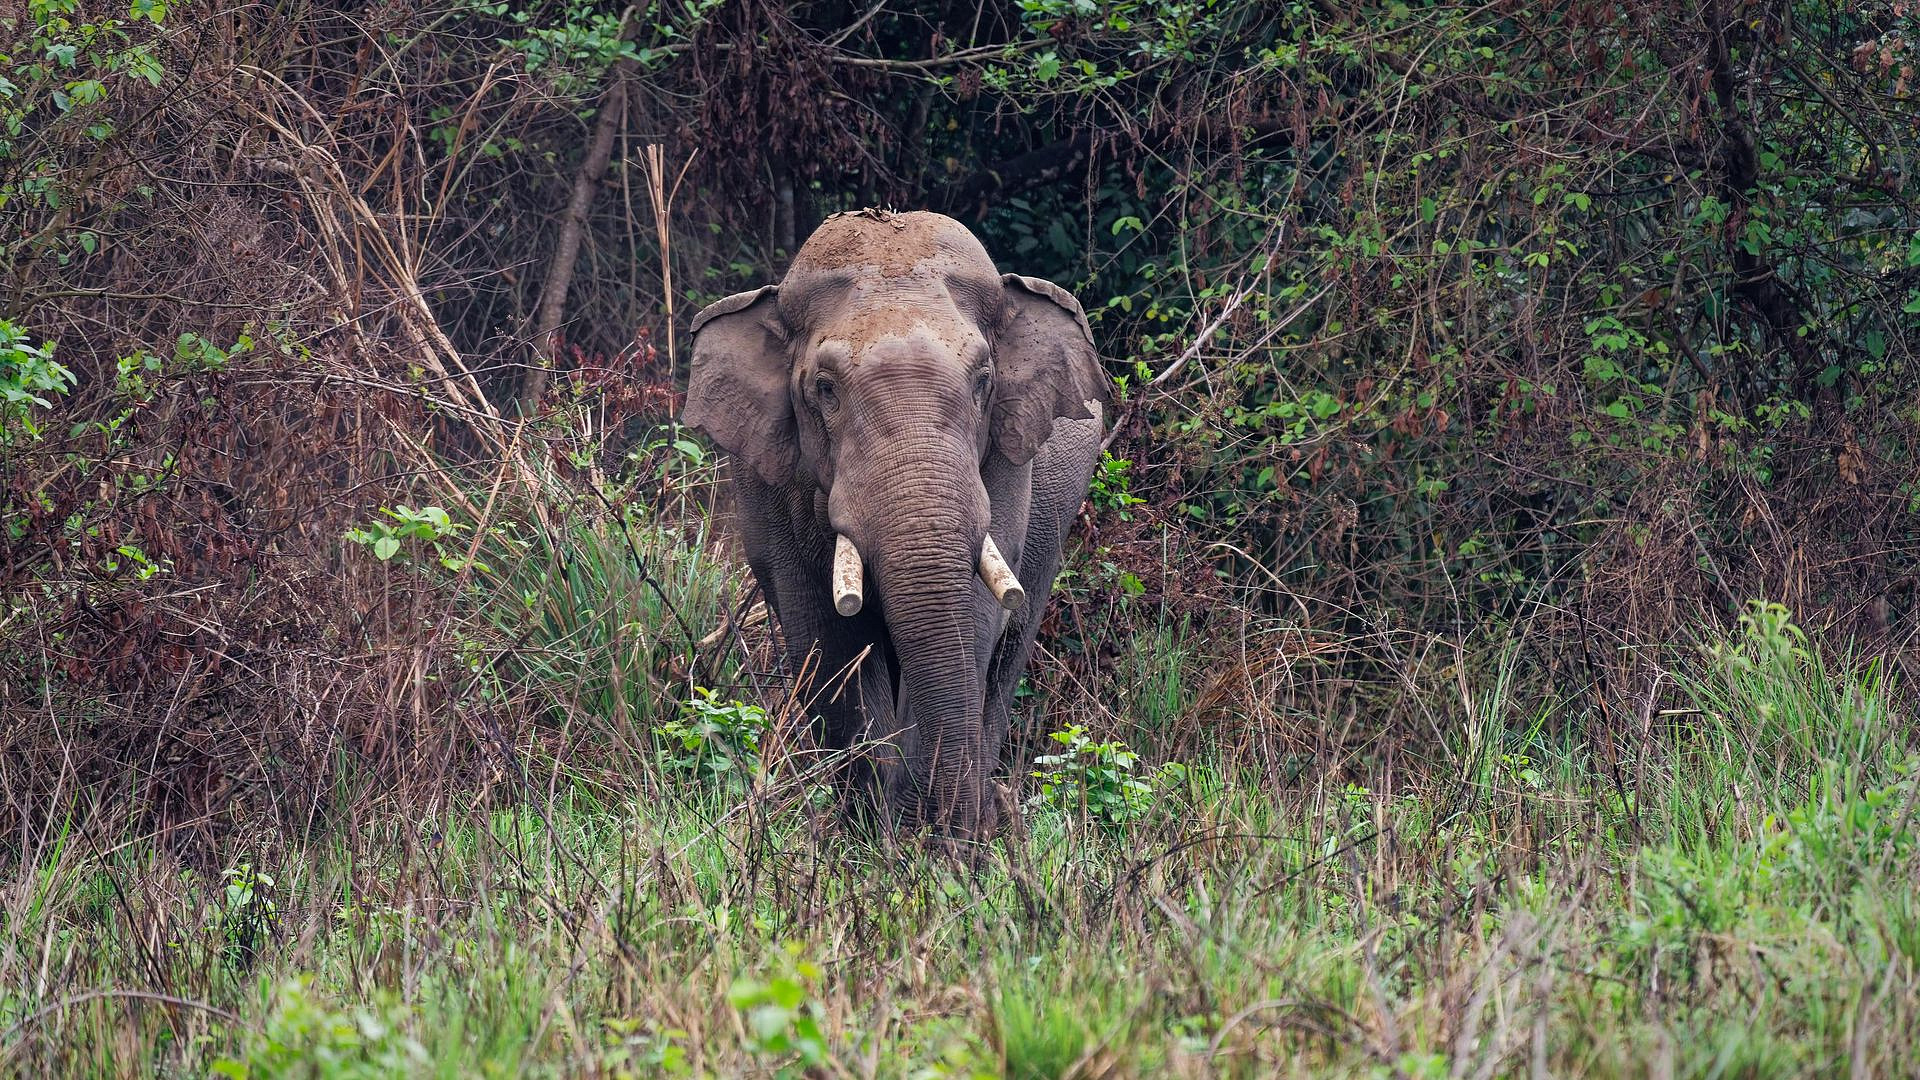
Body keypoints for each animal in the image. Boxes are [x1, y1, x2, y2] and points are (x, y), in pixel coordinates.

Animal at [682, 209, 1109, 841]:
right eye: (825, 389)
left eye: (984, 381)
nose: (931, 827)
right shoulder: (769, 480)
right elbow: (825, 633)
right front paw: (872, 832)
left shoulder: (1007, 461)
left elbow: (975, 615)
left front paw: (936, 837)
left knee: (1010, 647)